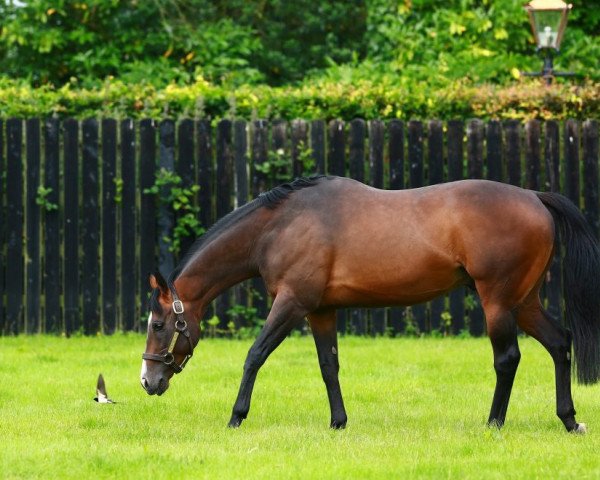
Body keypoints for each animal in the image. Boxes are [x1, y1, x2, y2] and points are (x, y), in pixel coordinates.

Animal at [142, 175, 600, 432]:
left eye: (159, 325)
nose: (148, 381)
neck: (281, 225)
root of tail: (535, 197)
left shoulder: (291, 303)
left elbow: (255, 355)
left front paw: (236, 417)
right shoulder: (320, 311)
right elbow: (328, 366)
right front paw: (338, 423)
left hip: (498, 302)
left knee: (507, 359)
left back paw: (494, 423)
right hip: (524, 301)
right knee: (560, 343)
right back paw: (568, 419)